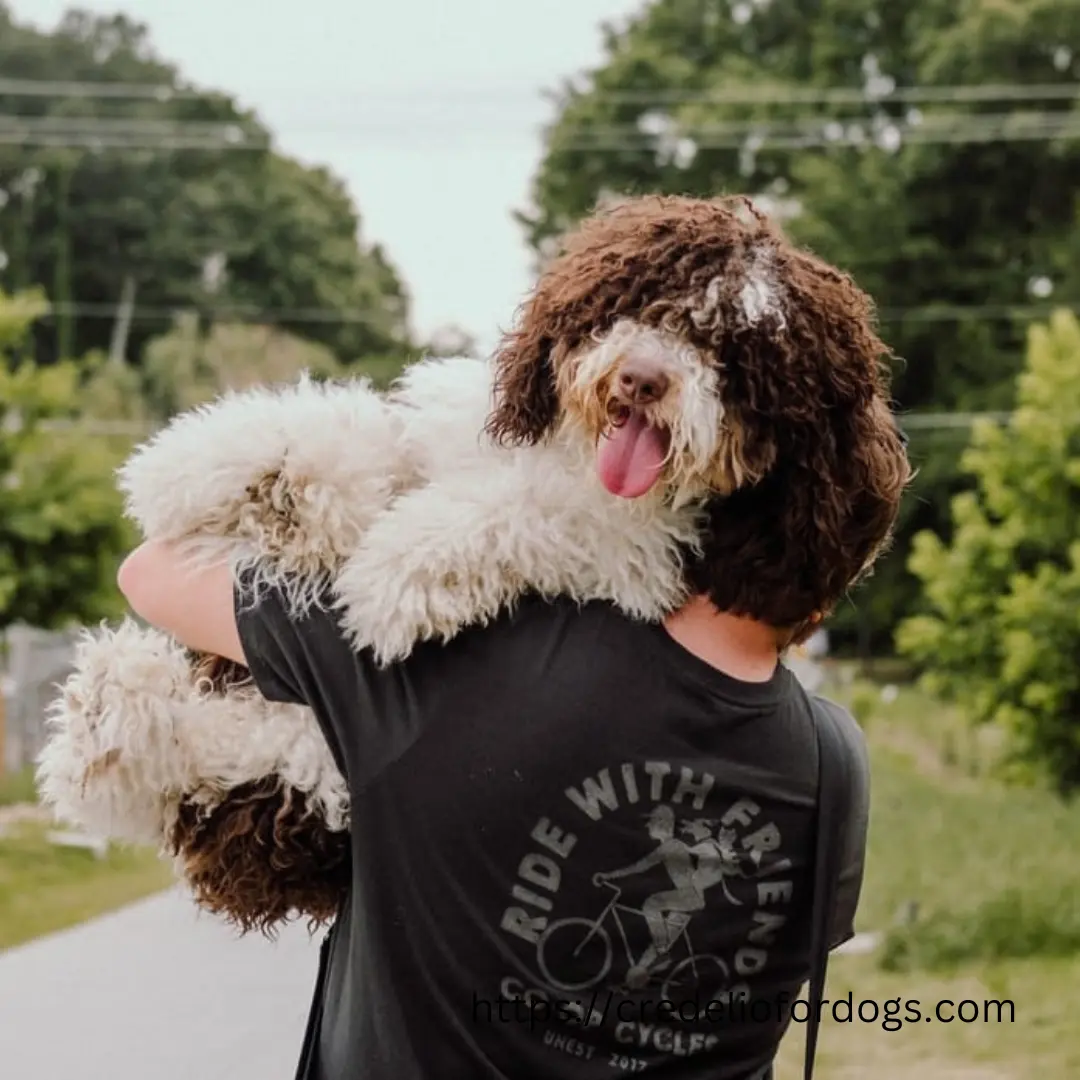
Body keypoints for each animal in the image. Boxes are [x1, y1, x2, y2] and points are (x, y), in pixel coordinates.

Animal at [35, 194, 911, 937]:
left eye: (737, 358)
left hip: (305, 765)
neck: (575, 459)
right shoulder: (449, 441)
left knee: (242, 759)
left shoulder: (639, 554)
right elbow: (369, 444)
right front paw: (232, 469)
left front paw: (394, 571)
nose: (643, 379)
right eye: (643, 303)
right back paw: (107, 712)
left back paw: (108, 721)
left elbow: (524, 515)